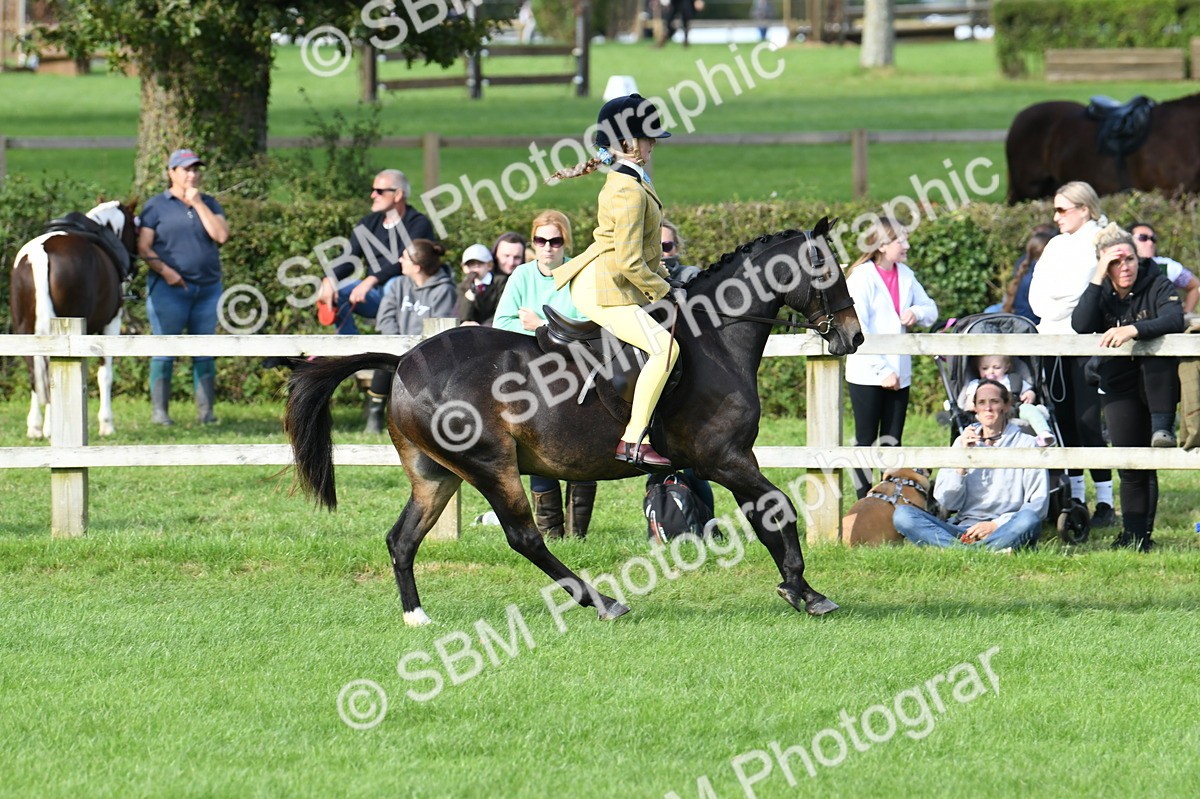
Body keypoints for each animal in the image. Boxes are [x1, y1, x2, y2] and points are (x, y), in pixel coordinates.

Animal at [9, 200, 138, 438]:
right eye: (135, 226)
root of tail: (40, 254)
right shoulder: (111, 323)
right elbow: (105, 375)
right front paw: (107, 424)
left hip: (24, 329)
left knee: (34, 372)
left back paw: (36, 427)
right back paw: (51, 428)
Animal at [284, 220, 863, 625]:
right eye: (829, 272)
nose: (853, 336)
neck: (714, 338)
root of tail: (403, 361)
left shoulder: (732, 460)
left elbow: (767, 515)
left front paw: (798, 589)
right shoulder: (724, 458)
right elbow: (779, 507)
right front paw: (804, 591)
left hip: (436, 474)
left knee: (402, 539)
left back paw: (416, 617)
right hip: (491, 466)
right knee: (524, 537)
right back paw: (602, 602)